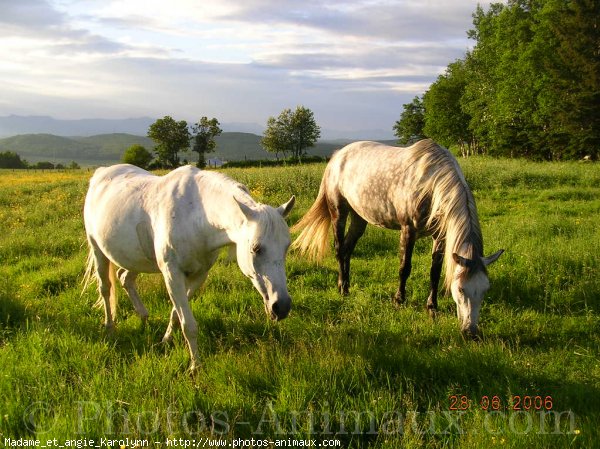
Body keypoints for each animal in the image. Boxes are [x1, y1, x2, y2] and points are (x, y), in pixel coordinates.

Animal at [84, 163, 296, 370]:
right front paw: (195, 367)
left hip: (133, 258)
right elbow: (189, 324)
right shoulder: (172, 274)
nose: (282, 307)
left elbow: (176, 315)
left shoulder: (198, 275)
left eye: (286, 246)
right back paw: (110, 328)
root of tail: (101, 173)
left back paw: (143, 317)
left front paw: (166, 340)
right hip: (97, 249)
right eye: (256, 248)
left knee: (124, 278)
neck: (197, 216)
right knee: (105, 288)